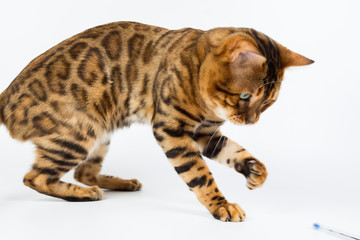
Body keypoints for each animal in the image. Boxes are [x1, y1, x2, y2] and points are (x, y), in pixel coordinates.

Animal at [0, 22, 312, 221]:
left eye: (268, 102)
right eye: (245, 96)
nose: (252, 122)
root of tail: (5, 98)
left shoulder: (205, 134)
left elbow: (235, 152)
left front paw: (255, 171)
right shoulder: (172, 130)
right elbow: (200, 175)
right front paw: (220, 206)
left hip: (101, 133)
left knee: (83, 172)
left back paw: (122, 183)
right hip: (79, 133)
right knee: (36, 177)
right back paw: (86, 194)